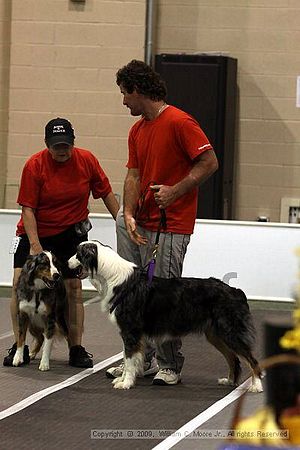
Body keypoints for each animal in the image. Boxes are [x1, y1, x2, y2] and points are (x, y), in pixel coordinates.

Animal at [68, 241, 262, 392]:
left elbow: (129, 359)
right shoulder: (130, 332)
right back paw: (229, 381)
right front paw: (123, 379)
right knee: (233, 358)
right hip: (215, 334)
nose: (66, 262)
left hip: (230, 332)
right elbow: (127, 357)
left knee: (251, 359)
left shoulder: (130, 330)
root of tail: (235, 291)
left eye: (77, 254)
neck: (112, 277)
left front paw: (126, 383)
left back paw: (256, 385)